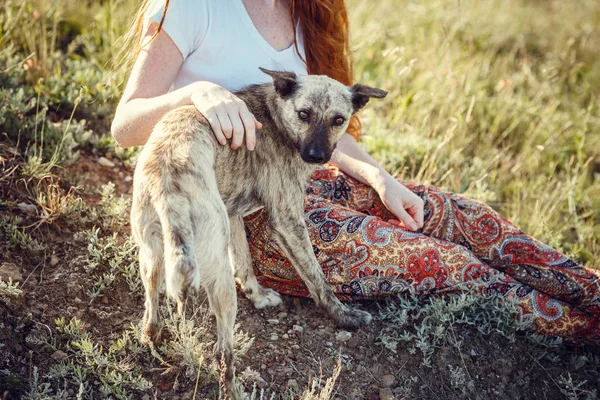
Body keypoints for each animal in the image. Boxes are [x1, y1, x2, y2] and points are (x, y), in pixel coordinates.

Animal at [129, 69, 386, 396]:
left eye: (338, 120)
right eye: (304, 114)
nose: (317, 156)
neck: (276, 116)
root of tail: (167, 173)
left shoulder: (232, 216)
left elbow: (244, 262)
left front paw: (258, 295)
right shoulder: (287, 221)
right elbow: (317, 279)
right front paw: (344, 315)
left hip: (152, 256)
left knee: (151, 310)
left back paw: (152, 340)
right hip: (219, 282)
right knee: (222, 352)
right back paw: (234, 390)